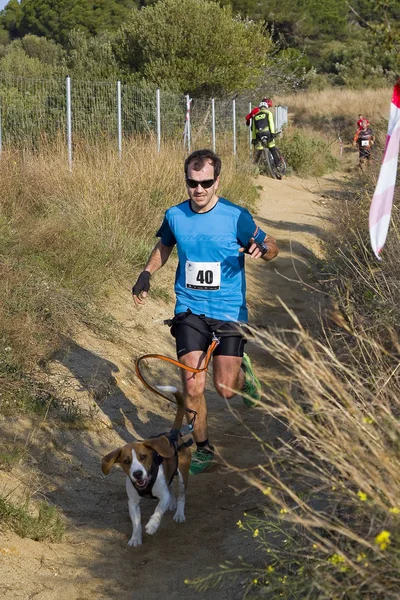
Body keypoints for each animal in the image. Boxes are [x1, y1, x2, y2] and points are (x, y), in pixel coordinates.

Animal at [102, 386, 191, 548]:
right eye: (126, 461)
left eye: (143, 457)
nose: (137, 474)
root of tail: (173, 433)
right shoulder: (133, 502)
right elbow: (136, 523)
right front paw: (136, 538)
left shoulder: (162, 496)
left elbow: (158, 509)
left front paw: (152, 525)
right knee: (170, 488)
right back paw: (172, 504)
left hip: (183, 475)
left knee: (181, 495)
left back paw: (179, 514)